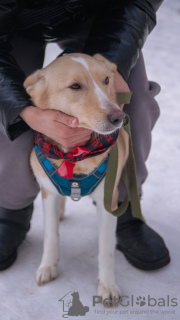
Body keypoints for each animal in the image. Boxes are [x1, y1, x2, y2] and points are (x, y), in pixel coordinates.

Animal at [23, 52, 129, 300]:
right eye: (75, 86)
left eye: (106, 80)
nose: (118, 117)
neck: (75, 157)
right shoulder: (47, 193)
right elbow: (51, 236)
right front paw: (48, 267)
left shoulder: (107, 200)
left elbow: (106, 248)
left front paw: (107, 286)